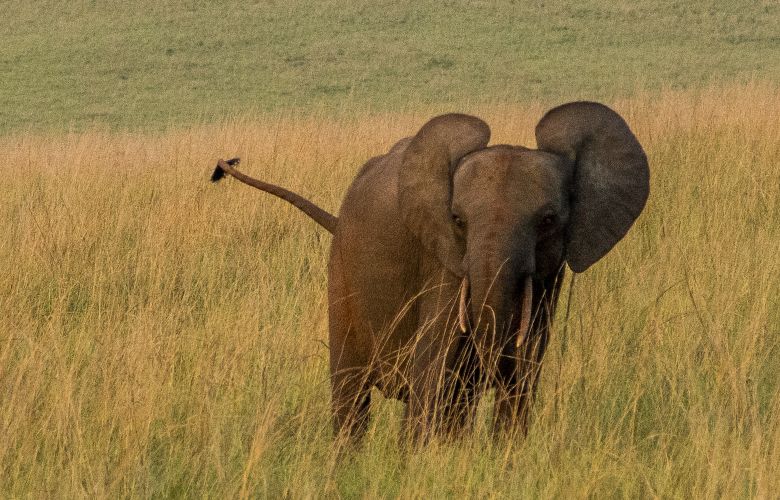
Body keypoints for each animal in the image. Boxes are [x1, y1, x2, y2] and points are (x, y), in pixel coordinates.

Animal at [211, 101, 649, 444]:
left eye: (548, 221)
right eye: (457, 220)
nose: (491, 368)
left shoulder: (547, 280)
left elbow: (523, 379)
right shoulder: (444, 266)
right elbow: (433, 374)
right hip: (342, 272)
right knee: (351, 392)